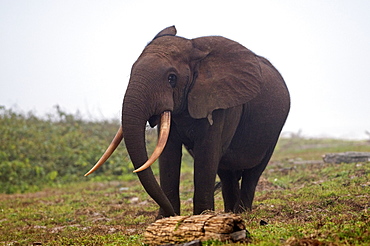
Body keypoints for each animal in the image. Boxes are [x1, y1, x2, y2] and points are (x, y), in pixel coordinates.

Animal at [85, 26, 290, 219]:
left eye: (171, 78)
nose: (172, 213)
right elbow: (168, 154)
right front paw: (165, 219)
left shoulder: (220, 103)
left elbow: (206, 153)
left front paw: (202, 216)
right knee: (226, 172)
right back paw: (230, 213)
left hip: (274, 132)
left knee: (252, 173)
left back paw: (241, 213)